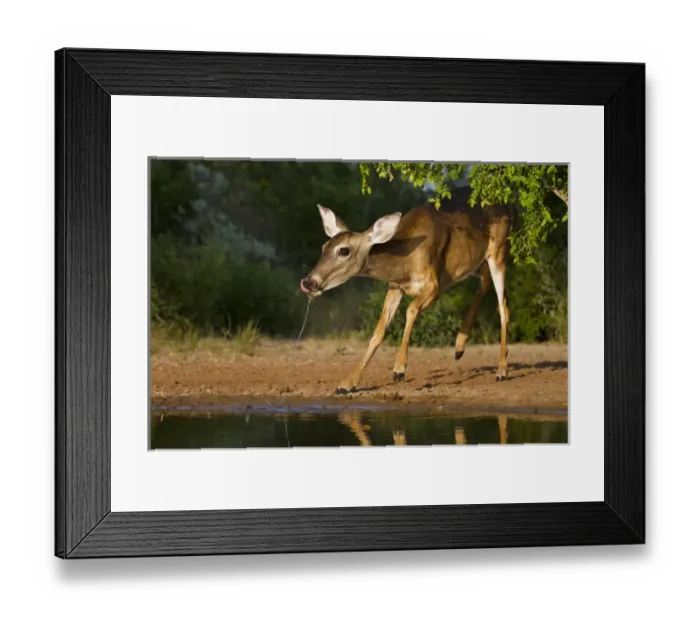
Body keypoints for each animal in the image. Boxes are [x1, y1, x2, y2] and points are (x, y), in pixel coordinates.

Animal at [300, 187, 515, 395]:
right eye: (324, 246)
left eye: (344, 250)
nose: (308, 282)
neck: (405, 264)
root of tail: (507, 207)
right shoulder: (395, 287)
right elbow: (378, 332)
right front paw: (347, 384)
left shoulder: (433, 284)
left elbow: (411, 310)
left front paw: (399, 369)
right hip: (474, 263)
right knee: (485, 281)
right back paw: (459, 347)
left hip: (499, 252)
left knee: (503, 307)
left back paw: (501, 370)